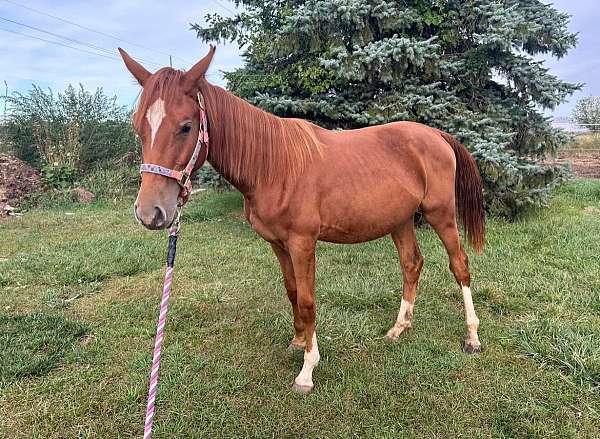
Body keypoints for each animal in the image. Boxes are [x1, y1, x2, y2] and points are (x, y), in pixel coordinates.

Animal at [119, 46, 486, 394]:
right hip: (400, 220)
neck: (273, 166)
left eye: (186, 127)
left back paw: (472, 336)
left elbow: (309, 301)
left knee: (460, 265)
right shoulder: (278, 244)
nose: (150, 212)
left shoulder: (302, 243)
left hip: (441, 214)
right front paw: (298, 342)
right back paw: (399, 328)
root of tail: (436, 135)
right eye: (138, 128)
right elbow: (292, 291)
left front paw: (308, 368)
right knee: (411, 264)